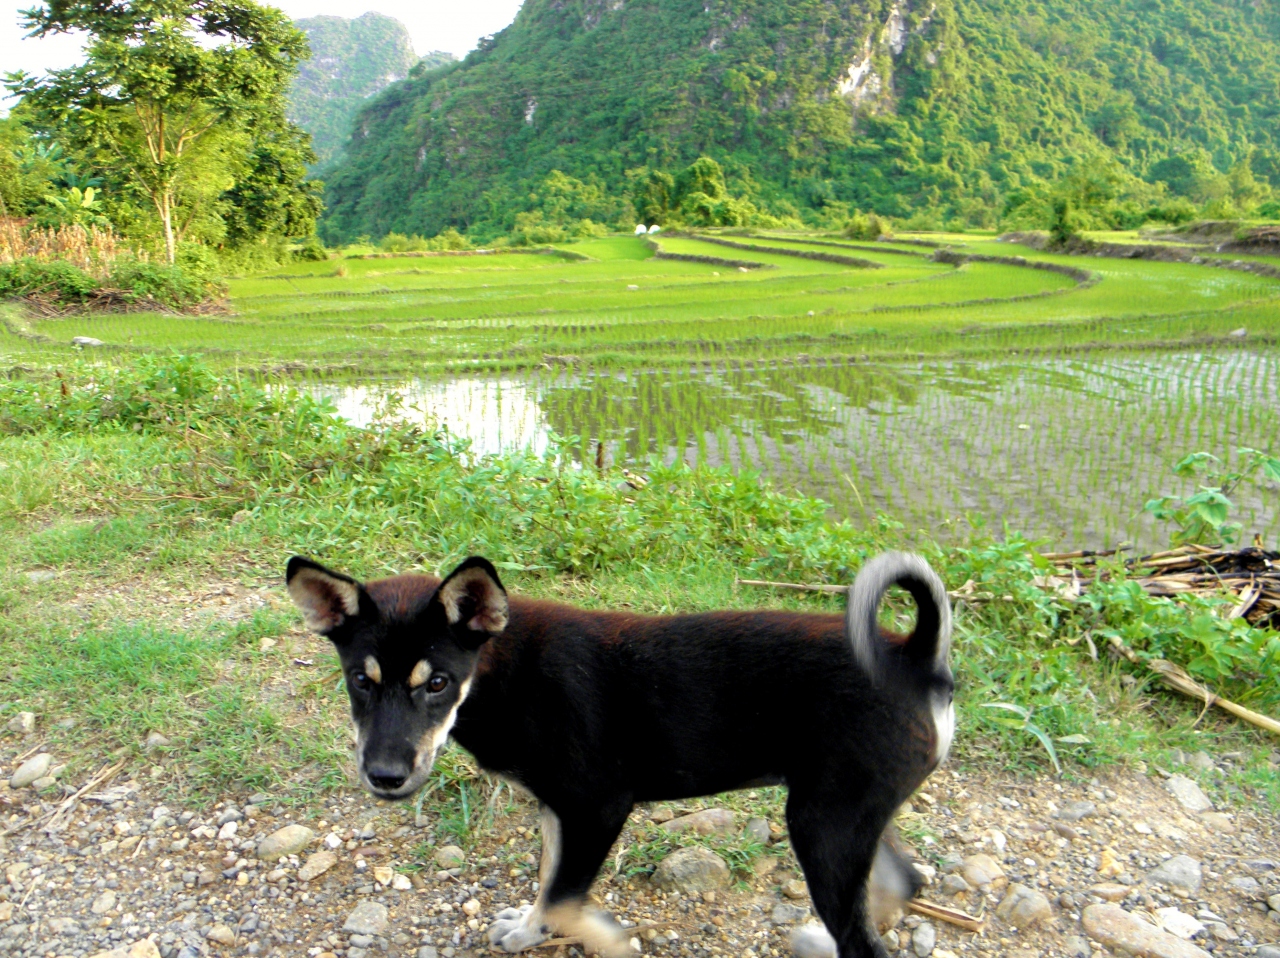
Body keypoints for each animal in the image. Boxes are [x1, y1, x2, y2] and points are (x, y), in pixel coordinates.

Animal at [290, 550, 952, 952]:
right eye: (360, 680)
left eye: (437, 683)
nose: (384, 777)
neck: (501, 675)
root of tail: (915, 661)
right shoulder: (558, 809)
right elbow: (550, 881)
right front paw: (528, 926)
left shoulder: (597, 806)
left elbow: (564, 898)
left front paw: (591, 936)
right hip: (844, 814)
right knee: (902, 884)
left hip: (821, 824)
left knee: (867, 938)